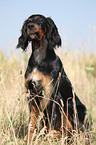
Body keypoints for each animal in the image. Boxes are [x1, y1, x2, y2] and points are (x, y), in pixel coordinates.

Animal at [16, 14, 88, 143]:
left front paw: (48, 140)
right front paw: (29, 140)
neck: (39, 58)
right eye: (28, 21)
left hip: (73, 109)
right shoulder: (32, 95)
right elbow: (31, 124)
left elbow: (52, 123)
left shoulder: (53, 95)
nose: (30, 26)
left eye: (40, 20)